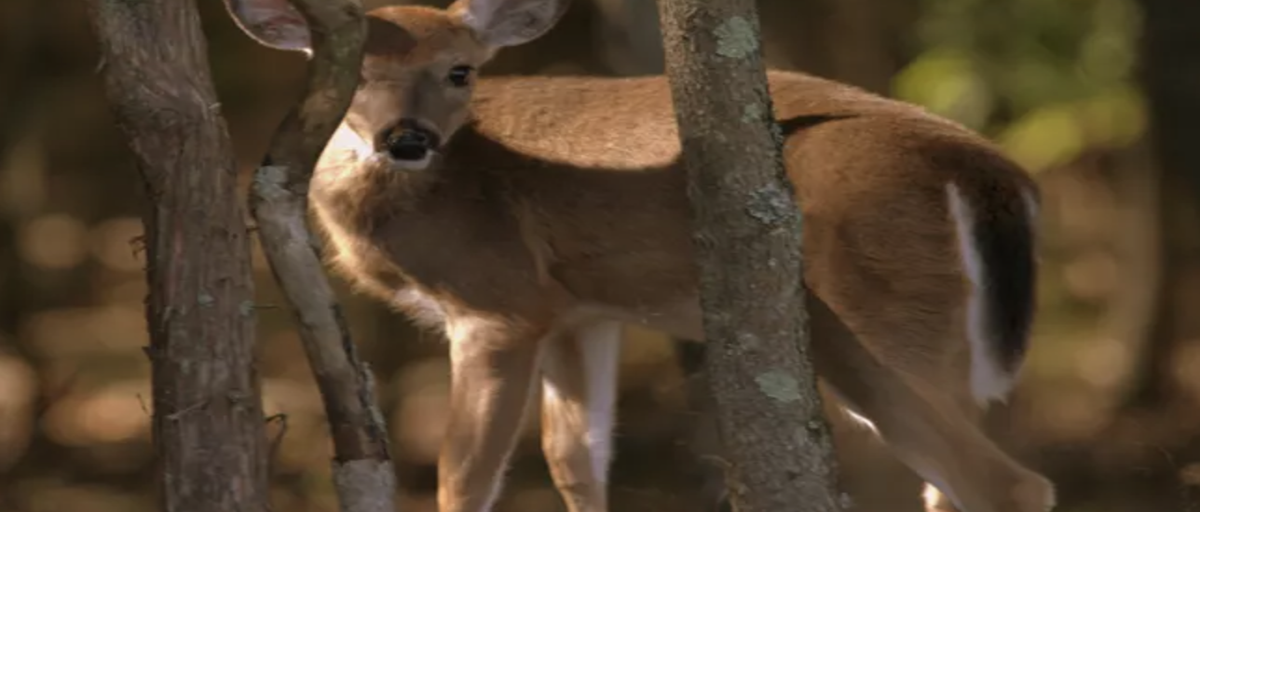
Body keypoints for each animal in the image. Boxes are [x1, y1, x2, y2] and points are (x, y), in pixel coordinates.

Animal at [223, 0, 1057, 513]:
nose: (406, 138)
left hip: (868, 315)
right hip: (943, 346)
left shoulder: (500, 301)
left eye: (461, 69)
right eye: (360, 75)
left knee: (1007, 485)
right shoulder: (581, 313)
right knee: (952, 483)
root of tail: (995, 175)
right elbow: (577, 460)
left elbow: (464, 478)